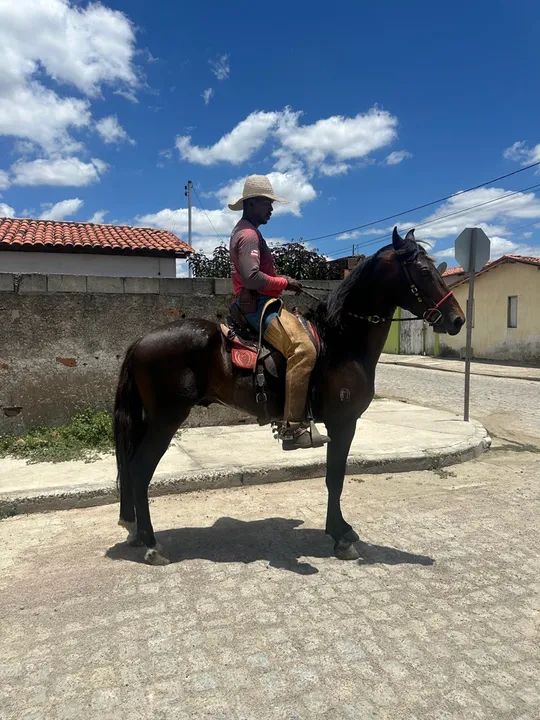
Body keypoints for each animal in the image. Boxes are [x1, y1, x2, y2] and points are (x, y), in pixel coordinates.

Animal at [114, 227, 465, 565]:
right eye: (423, 270)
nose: (457, 319)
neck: (340, 341)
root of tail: (139, 342)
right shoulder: (343, 423)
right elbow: (335, 478)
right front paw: (340, 536)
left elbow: (334, 477)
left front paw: (341, 531)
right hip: (165, 420)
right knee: (140, 470)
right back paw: (151, 545)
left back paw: (136, 532)